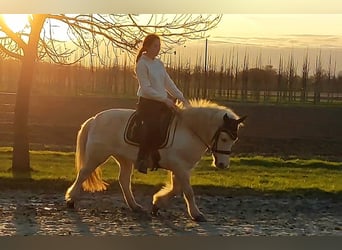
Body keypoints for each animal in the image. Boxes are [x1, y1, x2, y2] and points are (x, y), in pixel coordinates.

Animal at [65, 98, 246, 222]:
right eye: (224, 138)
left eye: (234, 139)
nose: (222, 165)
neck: (189, 131)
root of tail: (94, 118)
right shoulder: (180, 167)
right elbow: (188, 191)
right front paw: (196, 214)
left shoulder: (180, 168)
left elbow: (177, 189)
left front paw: (157, 203)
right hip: (98, 155)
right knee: (83, 174)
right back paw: (71, 200)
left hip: (124, 159)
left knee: (124, 181)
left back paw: (135, 206)